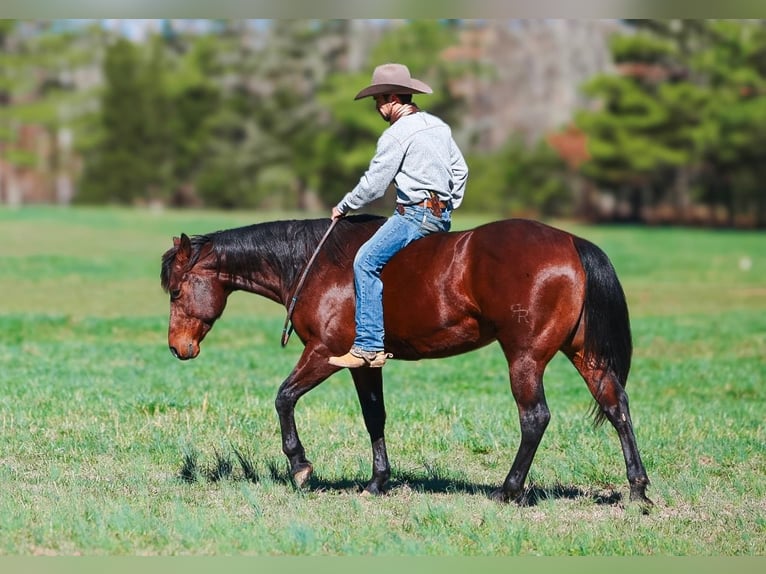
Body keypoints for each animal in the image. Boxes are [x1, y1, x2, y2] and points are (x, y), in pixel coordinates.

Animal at [160, 215, 653, 508]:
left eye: (177, 291)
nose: (177, 348)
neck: (315, 265)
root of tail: (571, 242)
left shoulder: (323, 354)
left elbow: (283, 398)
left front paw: (300, 466)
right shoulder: (364, 363)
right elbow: (374, 418)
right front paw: (378, 481)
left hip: (524, 357)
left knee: (535, 417)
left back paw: (509, 490)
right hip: (585, 356)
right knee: (617, 408)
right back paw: (638, 488)